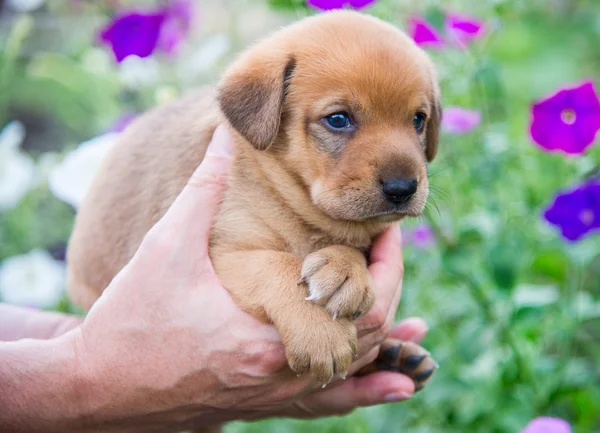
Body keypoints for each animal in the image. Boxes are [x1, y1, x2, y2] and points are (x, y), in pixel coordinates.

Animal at [67, 11, 440, 392]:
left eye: (418, 119)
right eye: (338, 119)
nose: (403, 188)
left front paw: (344, 268)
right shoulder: (220, 254)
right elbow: (276, 264)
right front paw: (321, 331)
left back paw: (398, 357)